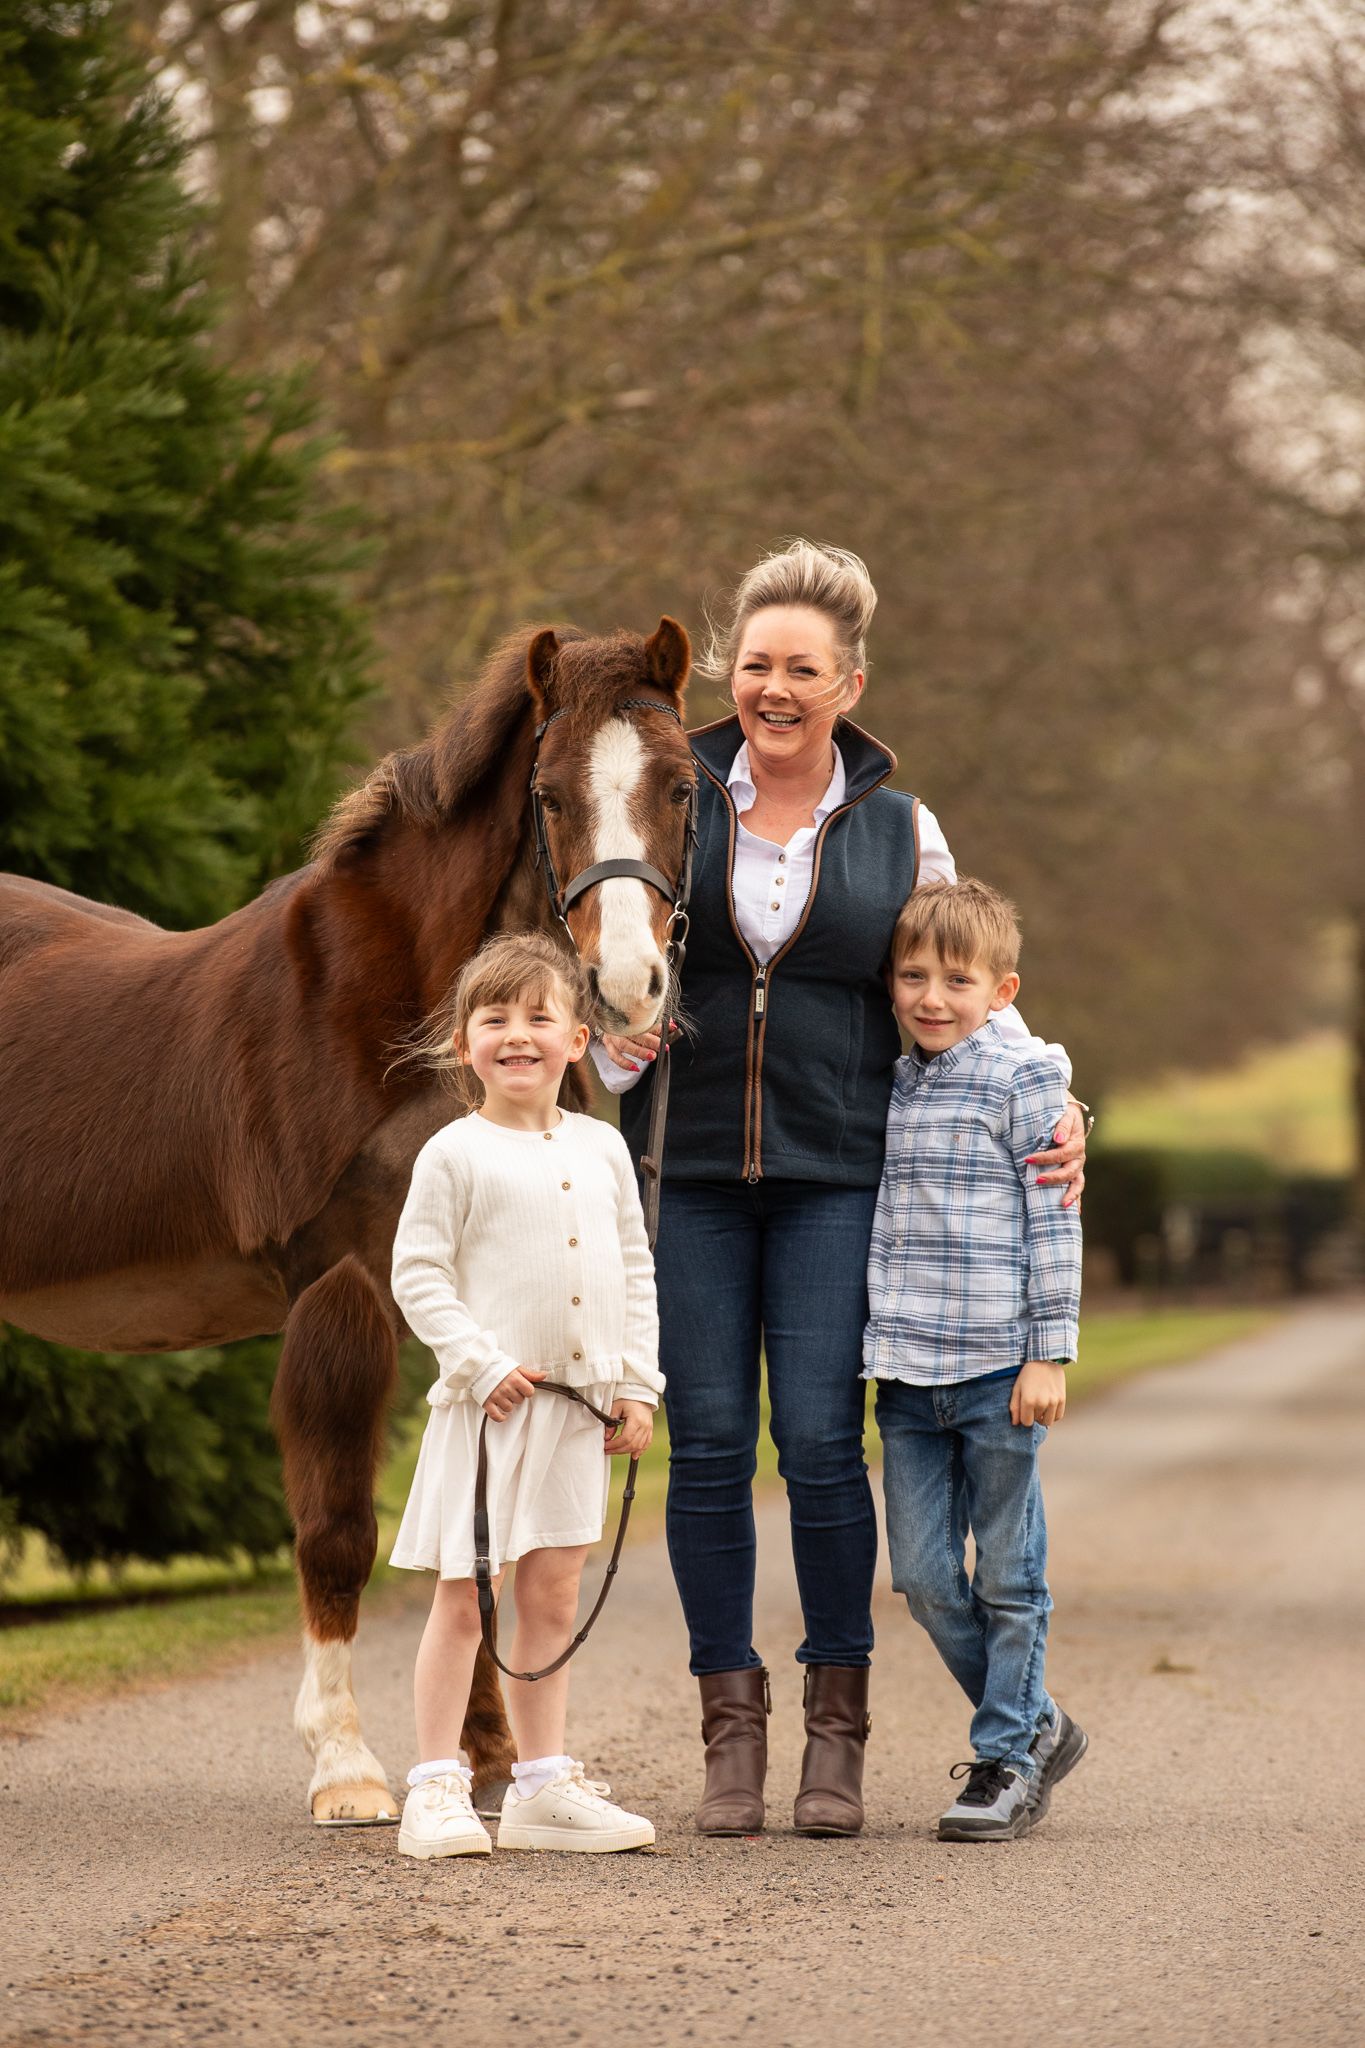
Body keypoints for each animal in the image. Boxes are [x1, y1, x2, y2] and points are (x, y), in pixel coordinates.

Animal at [0, 616, 695, 1824]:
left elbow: (478, 1533)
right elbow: (336, 1531)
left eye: (685, 786)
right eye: (550, 794)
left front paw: (492, 1757)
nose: (626, 985)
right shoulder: (341, 1284)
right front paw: (348, 1767)